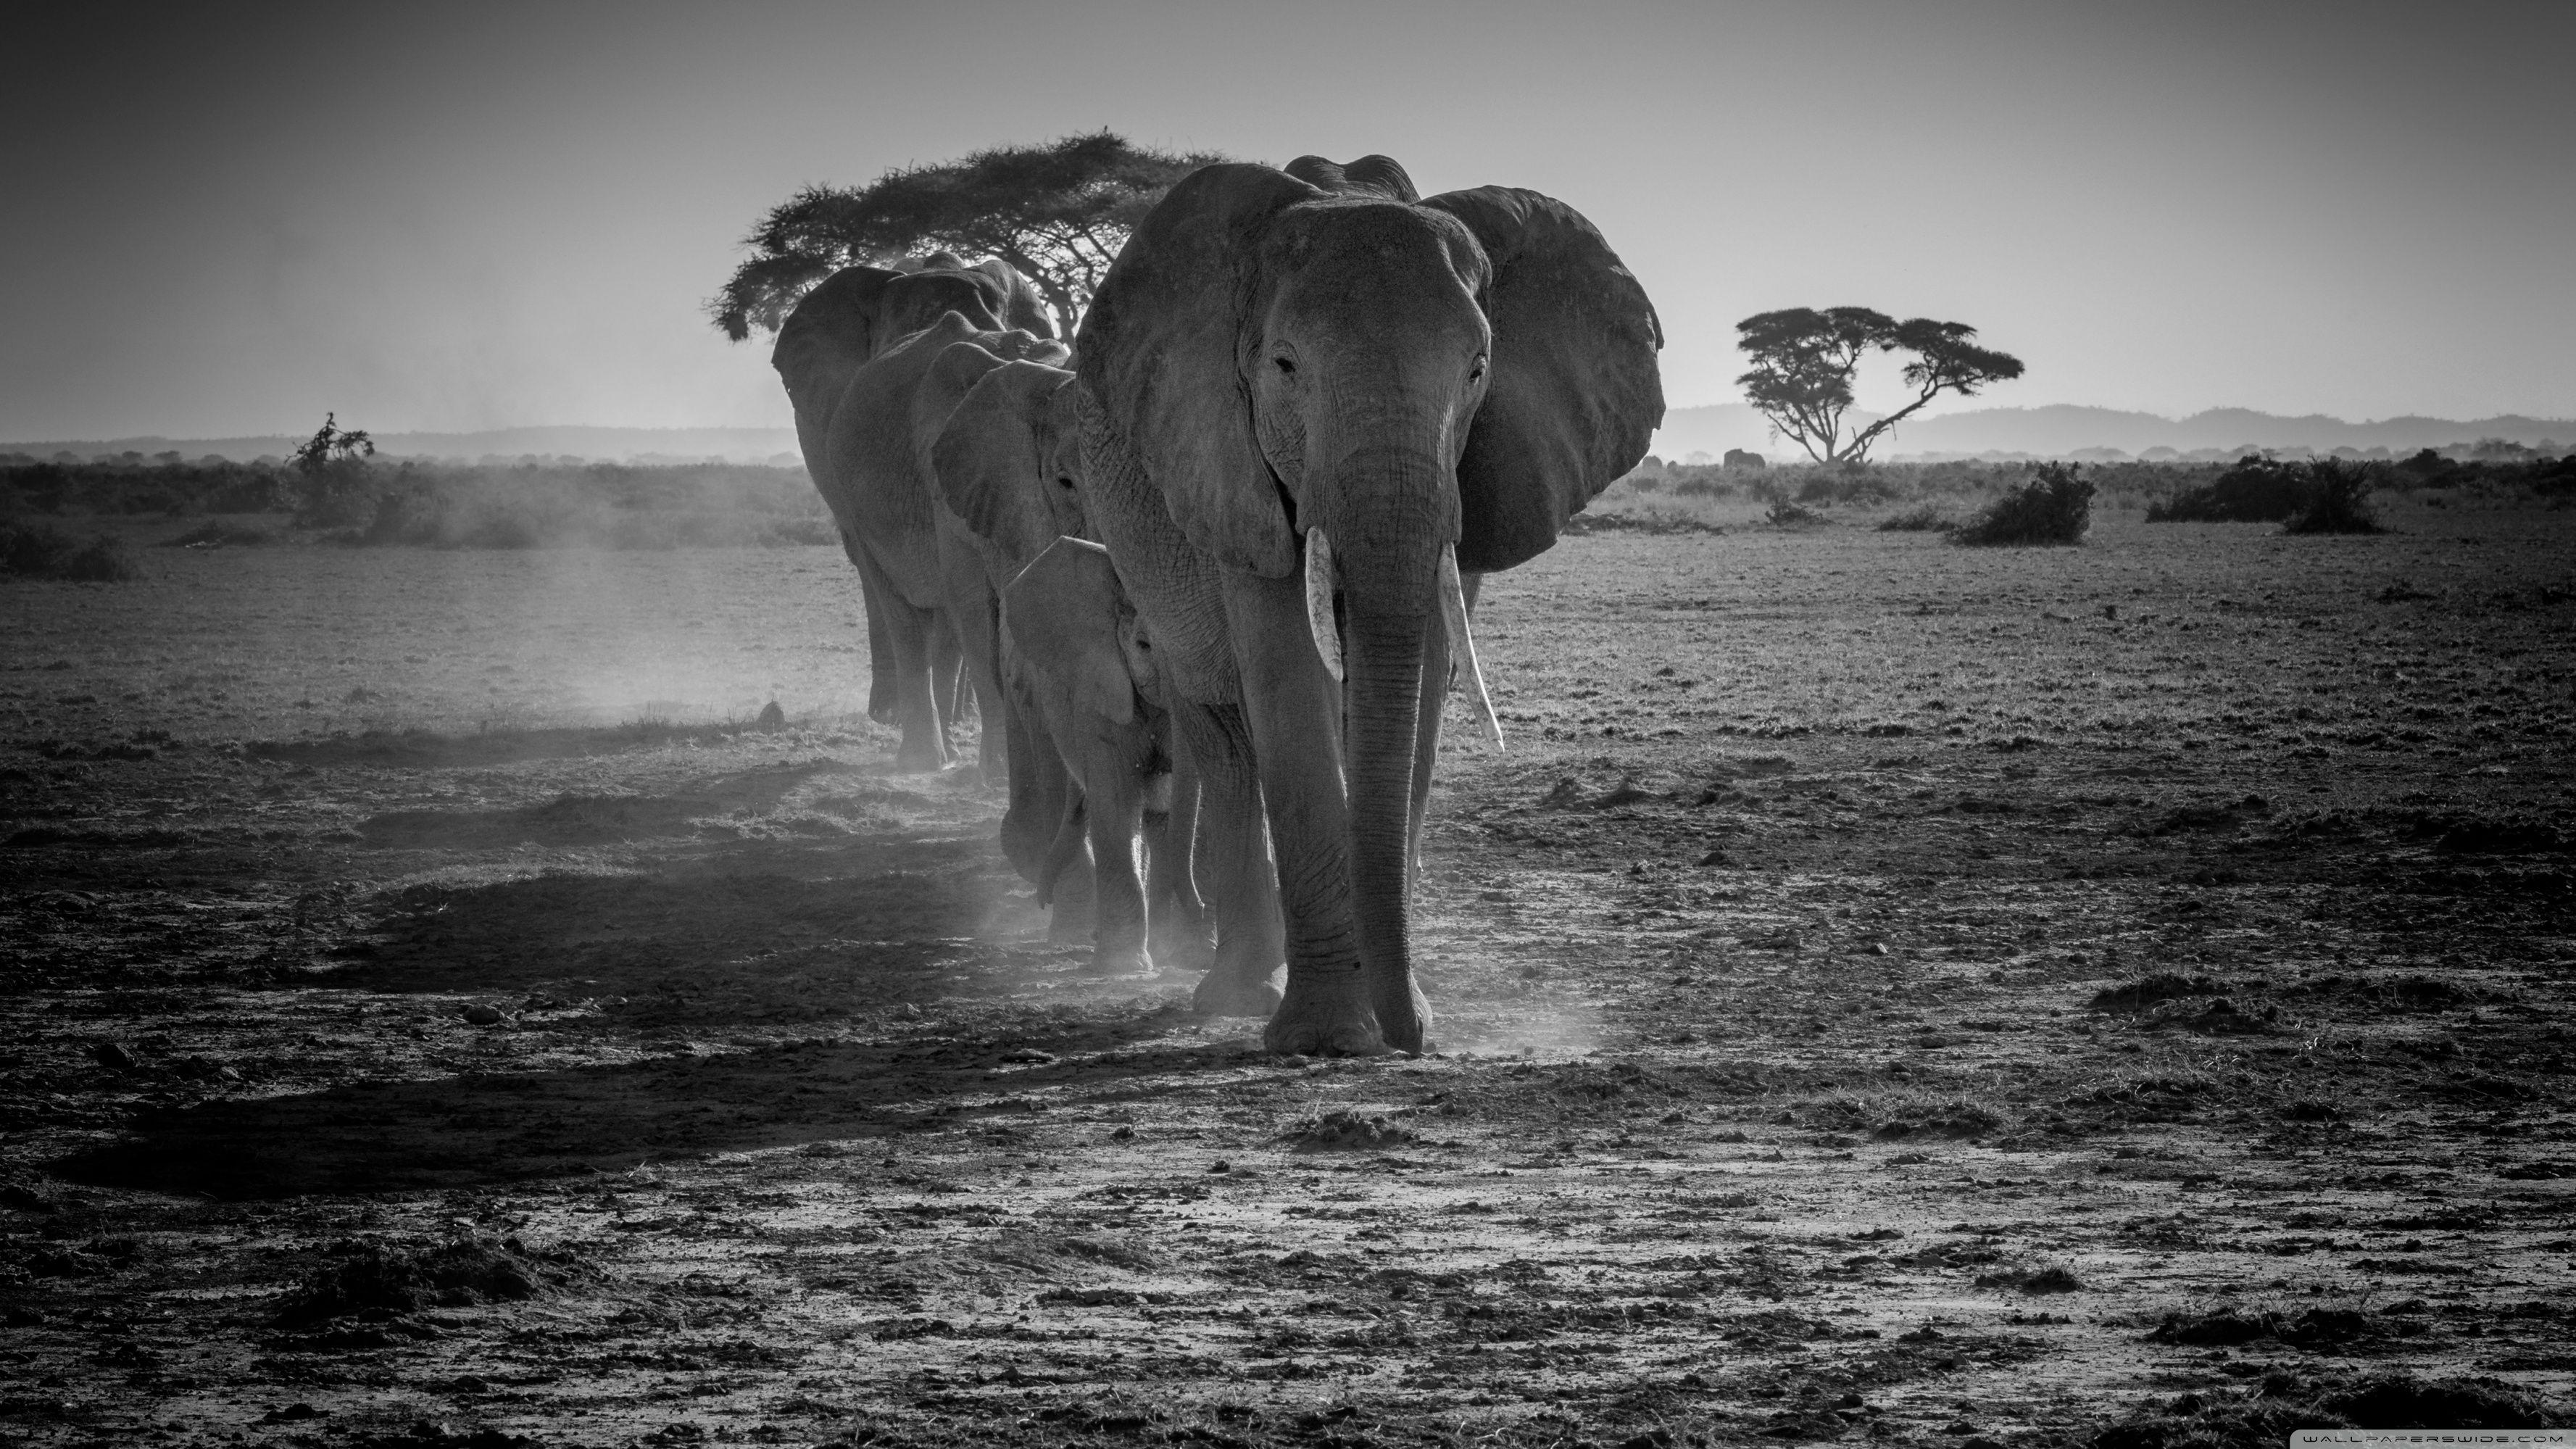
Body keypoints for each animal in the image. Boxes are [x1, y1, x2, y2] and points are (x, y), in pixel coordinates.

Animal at [1071, 153, 1663, 1054]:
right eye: (1284, 367)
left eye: (1477, 370)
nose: (1414, 1037)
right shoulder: (1229, 461)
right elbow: (1285, 668)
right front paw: (1326, 1037)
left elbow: (1415, 677)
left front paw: (1390, 1014)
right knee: (1226, 735)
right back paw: (1235, 994)